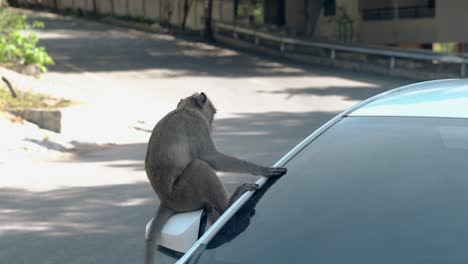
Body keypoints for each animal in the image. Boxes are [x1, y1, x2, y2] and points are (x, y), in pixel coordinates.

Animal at [144, 93, 288, 264]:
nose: (211, 126)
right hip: (184, 194)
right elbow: (210, 157)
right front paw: (260, 169)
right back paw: (229, 205)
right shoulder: (197, 126)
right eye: (212, 114)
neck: (186, 109)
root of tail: (165, 201)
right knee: (200, 166)